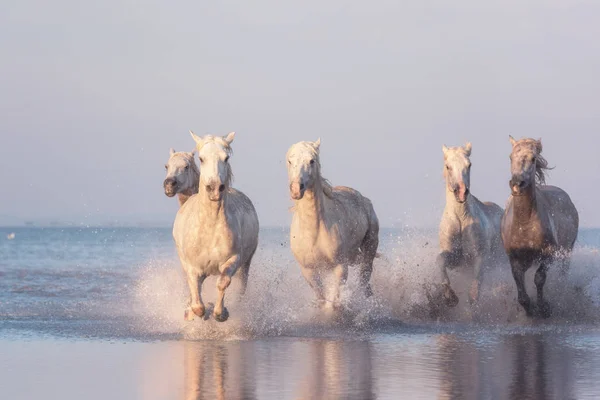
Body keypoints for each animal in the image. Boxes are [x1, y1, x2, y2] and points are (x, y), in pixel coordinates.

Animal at [172, 131, 258, 322]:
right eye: (201, 158)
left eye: (226, 158)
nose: (214, 188)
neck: (210, 226)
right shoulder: (192, 268)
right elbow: (197, 304)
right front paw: (196, 312)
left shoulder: (233, 259)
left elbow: (223, 283)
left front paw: (220, 313)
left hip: (245, 265)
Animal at [288, 138, 380, 310]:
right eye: (290, 161)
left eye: (312, 161)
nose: (297, 189)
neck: (314, 231)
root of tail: (364, 199)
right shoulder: (309, 271)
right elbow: (321, 297)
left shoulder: (340, 267)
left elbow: (332, 303)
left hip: (369, 248)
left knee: (364, 278)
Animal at [436, 144, 506, 306]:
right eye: (448, 166)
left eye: (469, 165)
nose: (462, 192)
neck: (460, 220)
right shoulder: (455, 258)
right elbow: (440, 260)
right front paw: (450, 296)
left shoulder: (479, 256)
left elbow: (478, 278)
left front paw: (473, 296)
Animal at [500, 138, 580, 318]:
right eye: (510, 157)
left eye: (533, 158)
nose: (517, 184)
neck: (524, 224)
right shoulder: (515, 258)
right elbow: (521, 289)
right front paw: (529, 309)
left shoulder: (548, 255)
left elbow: (539, 278)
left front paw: (543, 308)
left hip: (567, 251)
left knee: (562, 274)